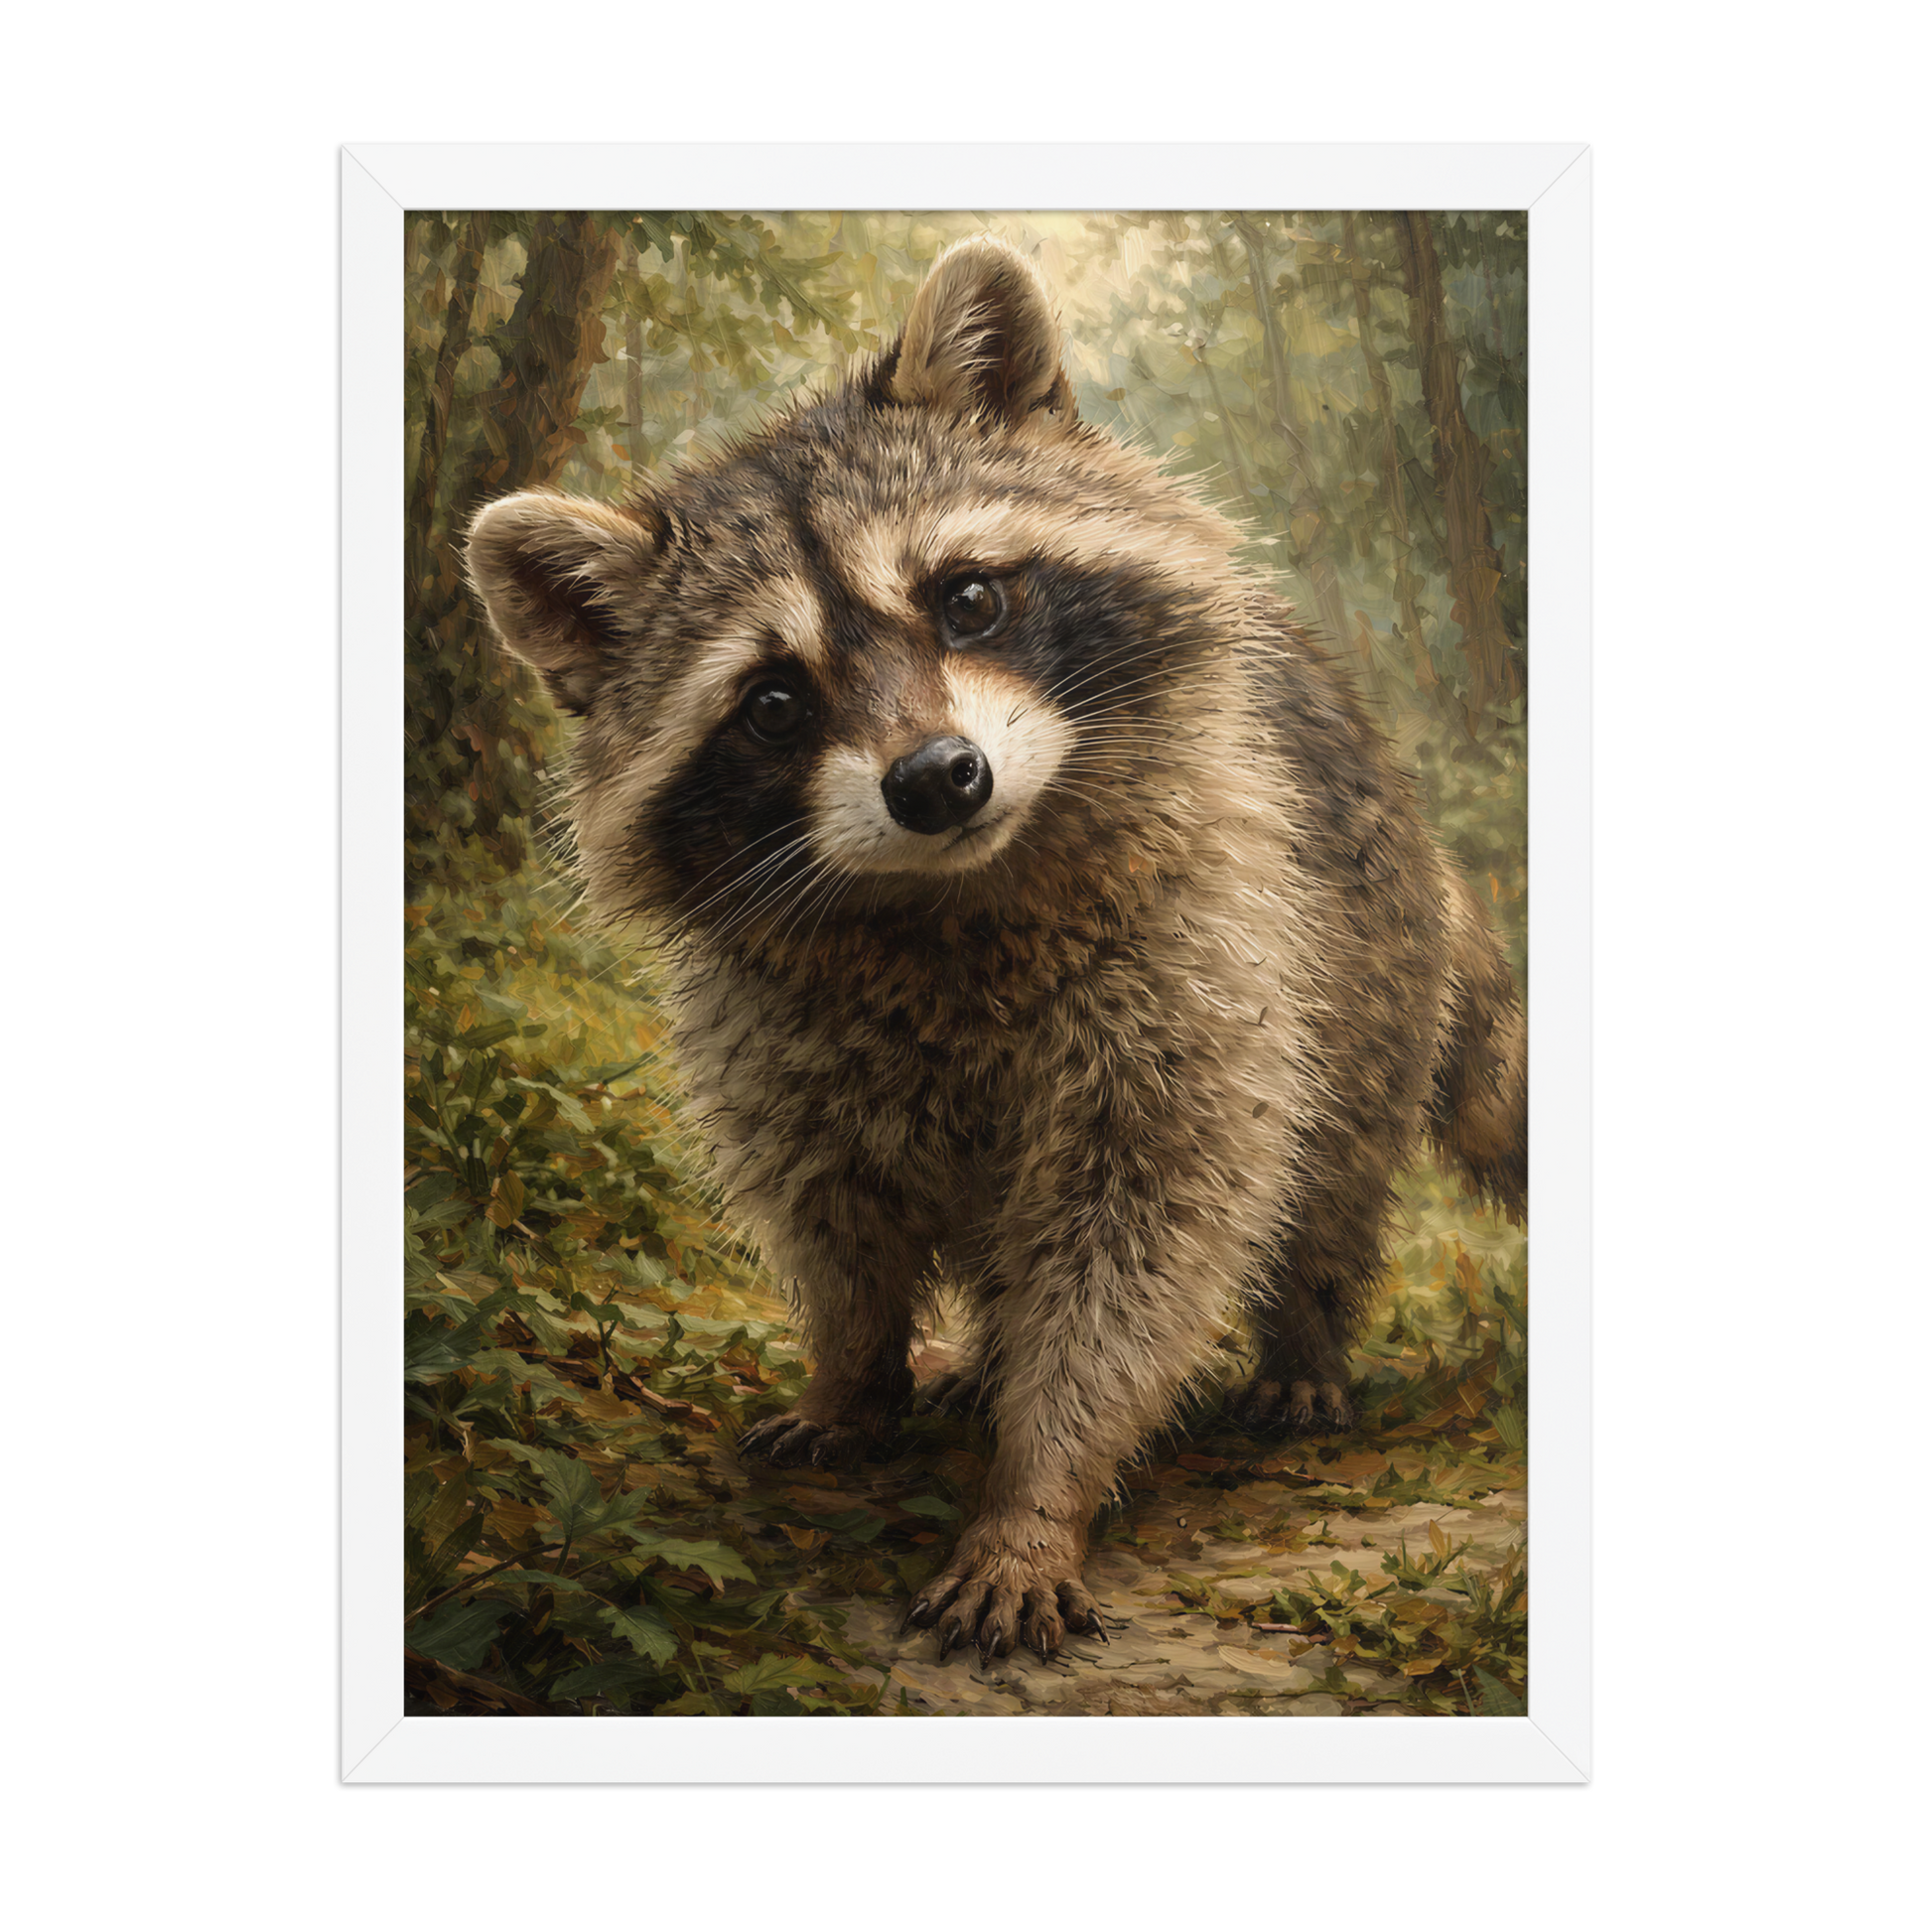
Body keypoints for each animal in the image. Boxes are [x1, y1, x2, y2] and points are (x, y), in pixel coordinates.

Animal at [465, 234, 1526, 1666]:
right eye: (772, 701)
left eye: (965, 597)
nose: (936, 779)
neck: (948, 898)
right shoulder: (772, 1029)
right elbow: (831, 1215)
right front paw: (853, 1372)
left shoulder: (1202, 952)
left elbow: (1137, 1241)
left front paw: (1037, 1491)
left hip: (1363, 959)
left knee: (1330, 1169)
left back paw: (1302, 1334)